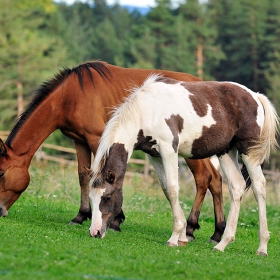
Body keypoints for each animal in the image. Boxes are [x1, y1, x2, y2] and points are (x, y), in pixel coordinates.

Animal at [0, 61, 225, 243]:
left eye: (1, 173)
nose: (0, 210)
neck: (70, 95)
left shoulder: (97, 138)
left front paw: (116, 220)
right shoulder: (79, 140)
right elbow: (84, 176)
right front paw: (81, 216)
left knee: (204, 178)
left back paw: (191, 228)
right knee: (214, 179)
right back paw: (216, 232)